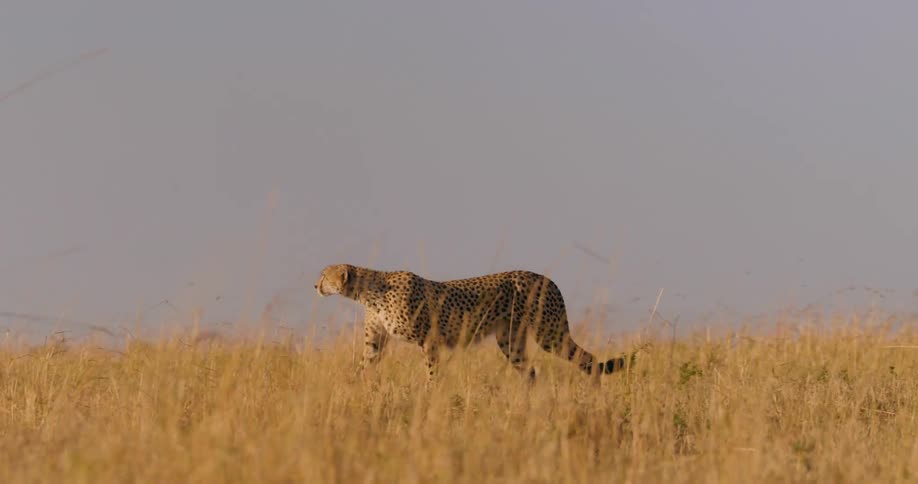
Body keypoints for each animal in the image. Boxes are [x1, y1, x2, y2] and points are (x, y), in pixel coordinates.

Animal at [315, 264, 626, 382]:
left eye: (324, 275)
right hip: (510, 340)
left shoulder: (430, 339)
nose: (314, 286)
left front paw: (429, 394)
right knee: (530, 373)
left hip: (549, 333)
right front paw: (349, 387)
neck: (369, 293)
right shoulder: (375, 344)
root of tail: (546, 278)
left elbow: (431, 371)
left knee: (588, 358)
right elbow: (362, 365)